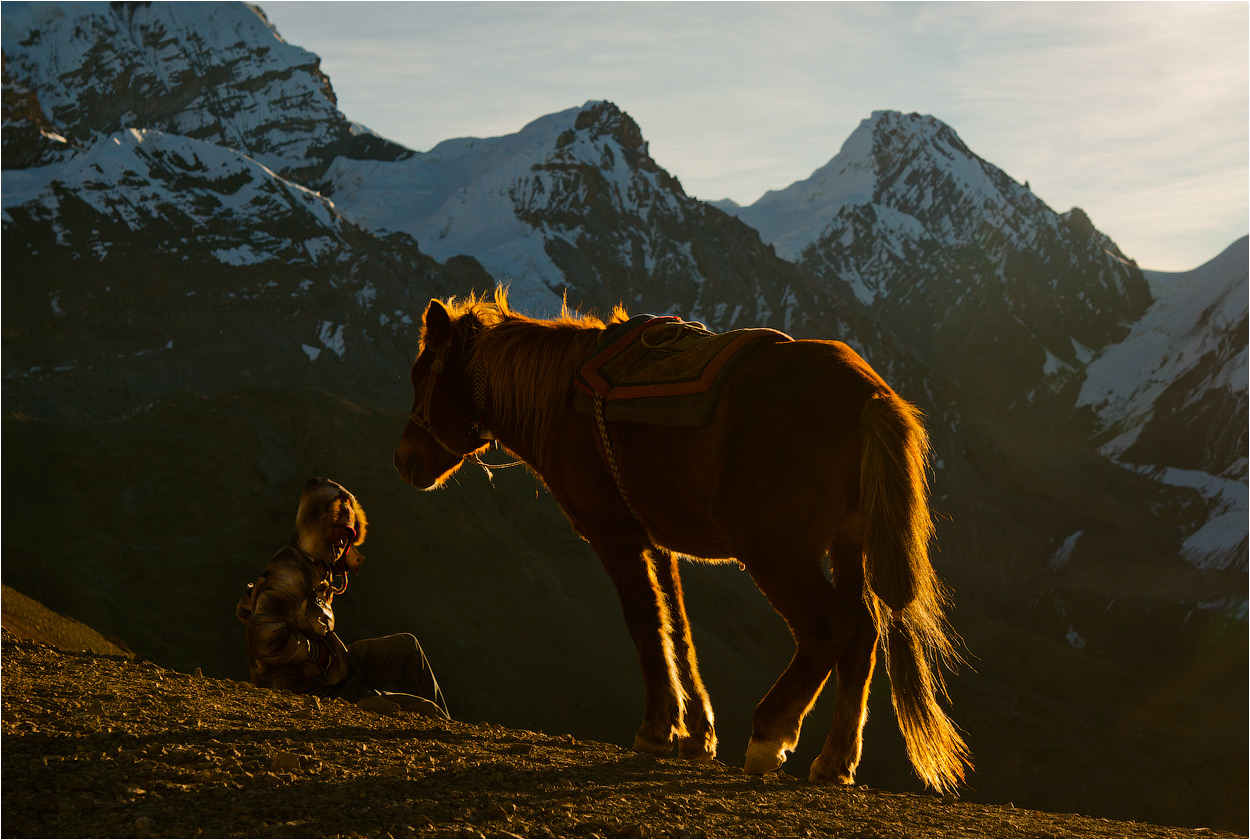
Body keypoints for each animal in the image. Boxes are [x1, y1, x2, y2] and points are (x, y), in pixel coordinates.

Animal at [395, 288, 970, 795]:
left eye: (422, 375)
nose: (405, 461)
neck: (560, 401)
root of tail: (868, 396)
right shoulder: (658, 541)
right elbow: (680, 627)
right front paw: (696, 734)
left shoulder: (615, 534)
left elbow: (645, 623)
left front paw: (656, 730)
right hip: (847, 546)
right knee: (864, 635)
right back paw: (835, 761)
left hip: (778, 554)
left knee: (830, 629)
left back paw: (771, 734)